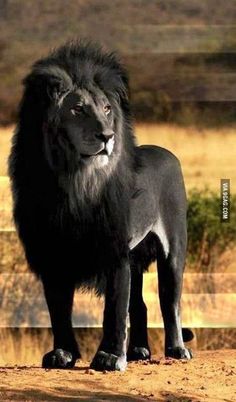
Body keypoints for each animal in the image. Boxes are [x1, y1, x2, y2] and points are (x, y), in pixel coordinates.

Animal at [8, 39, 194, 372]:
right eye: (78, 108)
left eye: (107, 109)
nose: (107, 136)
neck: (74, 182)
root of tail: (166, 151)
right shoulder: (52, 253)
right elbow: (58, 309)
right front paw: (63, 354)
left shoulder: (114, 250)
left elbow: (114, 310)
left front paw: (108, 357)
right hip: (136, 258)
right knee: (141, 305)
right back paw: (139, 351)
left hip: (173, 248)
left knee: (169, 300)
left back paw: (176, 349)